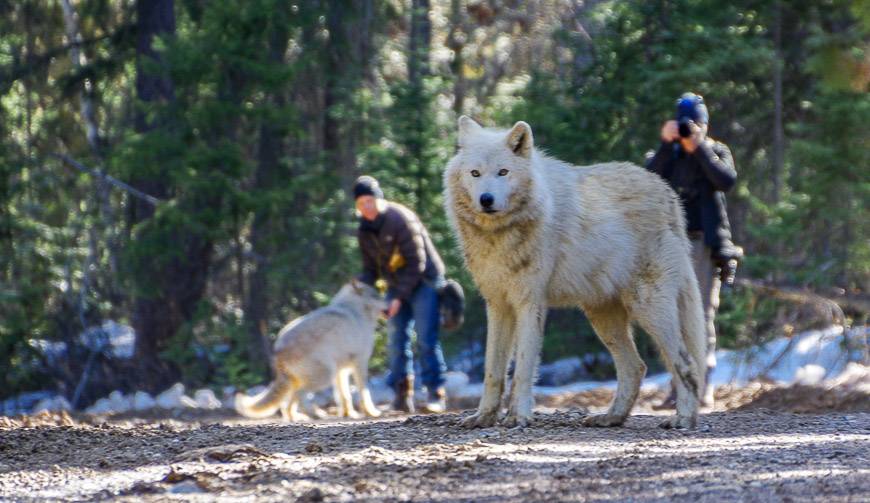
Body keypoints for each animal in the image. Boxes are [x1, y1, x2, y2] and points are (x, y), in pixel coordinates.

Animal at [238, 282, 388, 424]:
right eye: (376, 296)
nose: (389, 301)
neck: (354, 309)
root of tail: (278, 351)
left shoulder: (341, 371)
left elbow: (344, 396)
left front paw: (348, 414)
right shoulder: (359, 364)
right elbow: (364, 393)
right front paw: (371, 412)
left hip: (306, 380)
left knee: (287, 404)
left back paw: (298, 417)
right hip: (325, 376)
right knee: (299, 396)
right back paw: (316, 414)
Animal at [442, 117, 708, 430]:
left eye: (503, 172)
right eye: (475, 173)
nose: (486, 199)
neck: (499, 237)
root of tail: (669, 194)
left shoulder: (530, 303)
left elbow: (522, 369)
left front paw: (519, 416)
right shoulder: (498, 305)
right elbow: (492, 371)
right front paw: (484, 417)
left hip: (650, 310)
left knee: (686, 364)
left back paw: (684, 419)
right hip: (603, 317)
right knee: (636, 367)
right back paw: (611, 417)